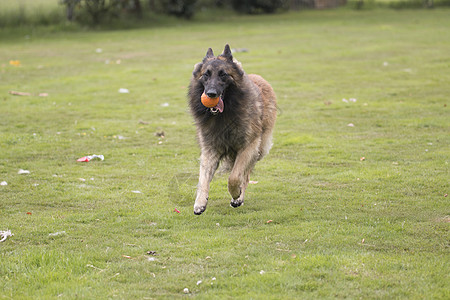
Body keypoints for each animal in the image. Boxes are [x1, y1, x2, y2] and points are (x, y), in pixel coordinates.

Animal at [187, 43, 278, 214]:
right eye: (206, 75)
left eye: (223, 74)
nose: (211, 94)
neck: (224, 115)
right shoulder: (210, 150)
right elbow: (203, 178)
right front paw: (200, 203)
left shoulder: (248, 146)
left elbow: (234, 177)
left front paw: (236, 194)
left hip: (259, 149)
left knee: (245, 175)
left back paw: (239, 198)